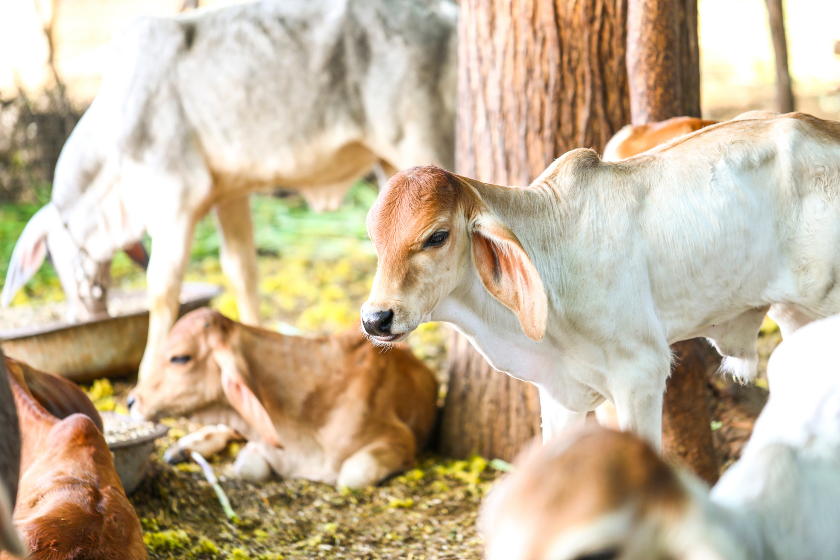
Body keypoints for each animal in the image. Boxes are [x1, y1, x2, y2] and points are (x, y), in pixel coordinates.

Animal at [1, 0, 460, 380]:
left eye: (52, 258)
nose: (83, 311)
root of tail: (445, 13)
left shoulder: (176, 198)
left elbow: (162, 288)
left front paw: (147, 374)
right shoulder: (229, 195)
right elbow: (242, 271)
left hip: (425, 141)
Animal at [128, 308, 440, 488]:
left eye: (180, 358)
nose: (132, 400)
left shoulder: (401, 439)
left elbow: (351, 476)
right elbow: (246, 467)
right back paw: (183, 447)